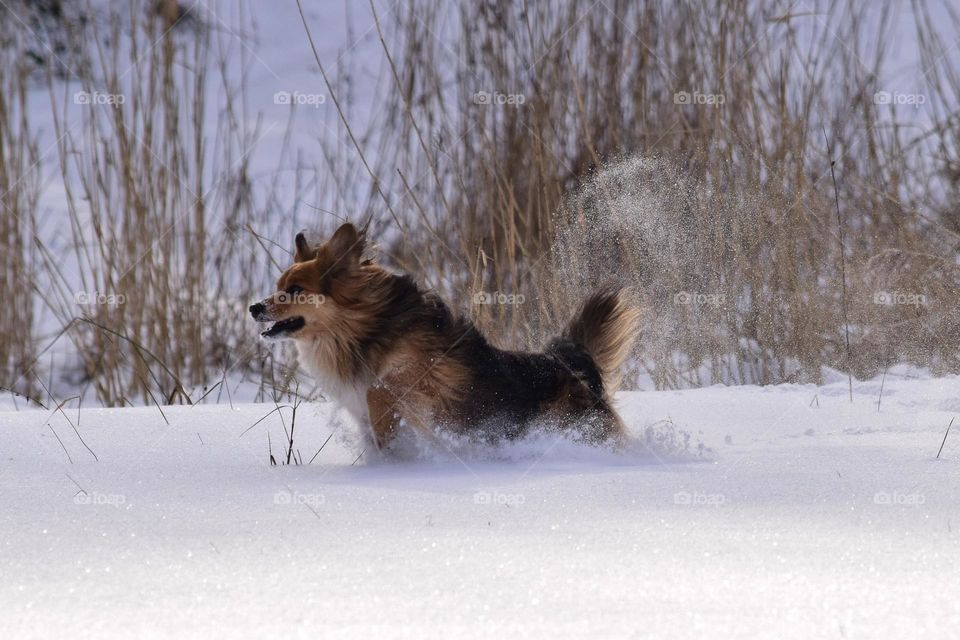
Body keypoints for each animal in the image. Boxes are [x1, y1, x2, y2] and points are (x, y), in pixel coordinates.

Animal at [248, 222, 640, 452]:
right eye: (278, 287)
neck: (364, 329)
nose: (253, 307)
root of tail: (569, 360)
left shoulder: (425, 378)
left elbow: (380, 390)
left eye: (295, 290)